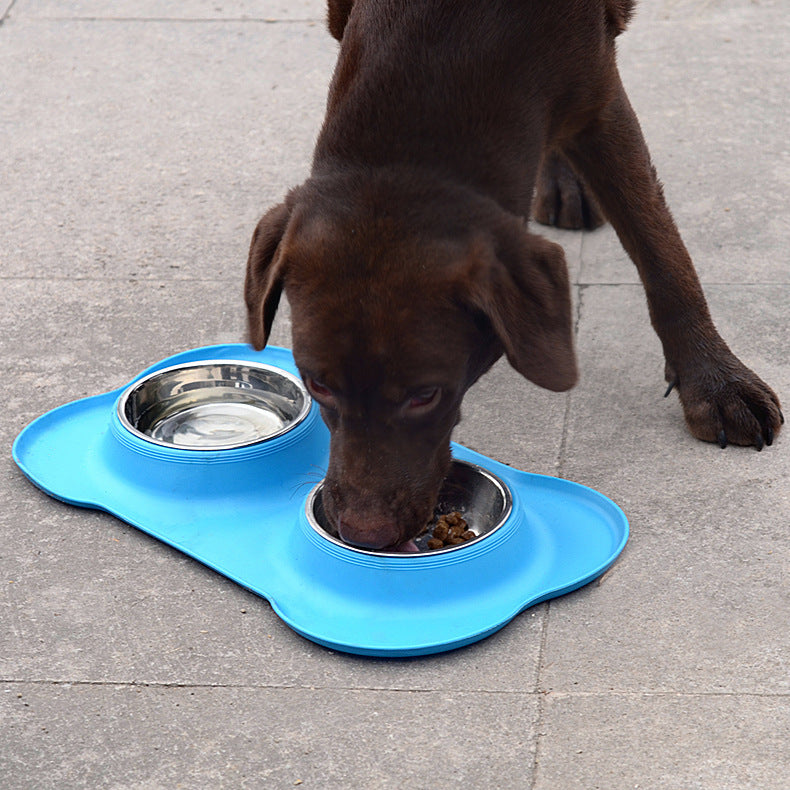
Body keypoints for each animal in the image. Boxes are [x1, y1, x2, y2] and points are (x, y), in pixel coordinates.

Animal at [246, 1, 784, 552]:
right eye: (318, 385)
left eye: (425, 395)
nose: (366, 534)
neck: (443, 52)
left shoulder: (599, 94)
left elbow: (660, 248)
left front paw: (714, 381)